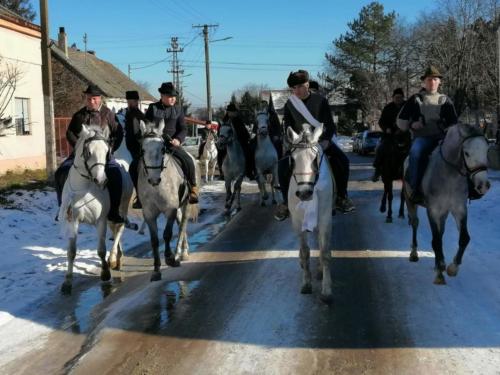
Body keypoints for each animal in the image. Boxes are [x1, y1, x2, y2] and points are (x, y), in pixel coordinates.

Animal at [59, 125, 133, 294]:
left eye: (106, 151)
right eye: (88, 152)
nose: (101, 180)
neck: (84, 188)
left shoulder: (100, 221)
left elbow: (101, 250)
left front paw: (105, 274)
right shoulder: (72, 221)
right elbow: (71, 252)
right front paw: (67, 281)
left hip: (122, 208)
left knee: (119, 229)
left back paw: (113, 259)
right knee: (115, 230)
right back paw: (118, 258)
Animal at [138, 120, 200, 282]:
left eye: (162, 149)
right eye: (142, 149)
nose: (154, 179)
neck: (156, 187)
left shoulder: (170, 209)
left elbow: (167, 234)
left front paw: (170, 258)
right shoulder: (149, 214)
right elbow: (154, 240)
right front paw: (156, 270)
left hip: (186, 204)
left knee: (183, 224)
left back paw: (180, 253)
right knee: (180, 223)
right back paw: (183, 251)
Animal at [288, 124, 334, 306]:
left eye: (315, 159)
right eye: (292, 159)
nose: (304, 193)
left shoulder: (325, 220)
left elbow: (325, 252)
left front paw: (326, 291)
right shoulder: (297, 222)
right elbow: (305, 251)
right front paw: (306, 283)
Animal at [404, 123, 490, 284]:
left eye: (487, 151)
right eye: (467, 153)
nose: (483, 186)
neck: (449, 174)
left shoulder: (459, 209)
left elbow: (464, 238)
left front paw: (452, 267)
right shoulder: (432, 210)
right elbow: (436, 241)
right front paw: (439, 274)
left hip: (444, 212)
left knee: (441, 231)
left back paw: (440, 262)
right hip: (410, 201)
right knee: (415, 223)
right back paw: (414, 254)